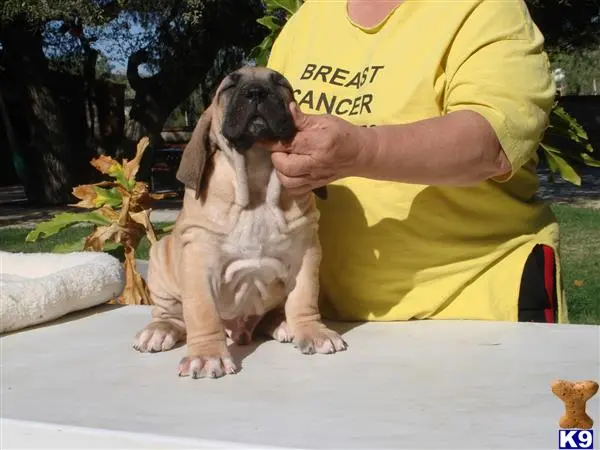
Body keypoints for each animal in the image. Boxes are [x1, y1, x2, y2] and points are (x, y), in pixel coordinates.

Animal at [133, 65, 344, 378]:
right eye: (229, 87)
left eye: (280, 84)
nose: (256, 92)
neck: (256, 179)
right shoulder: (198, 260)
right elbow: (202, 313)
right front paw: (207, 355)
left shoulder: (305, 253)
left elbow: (304, 298)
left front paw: (312, 332)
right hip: (161, 259)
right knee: (170, 314)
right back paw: (159, 330)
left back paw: (282, 323)